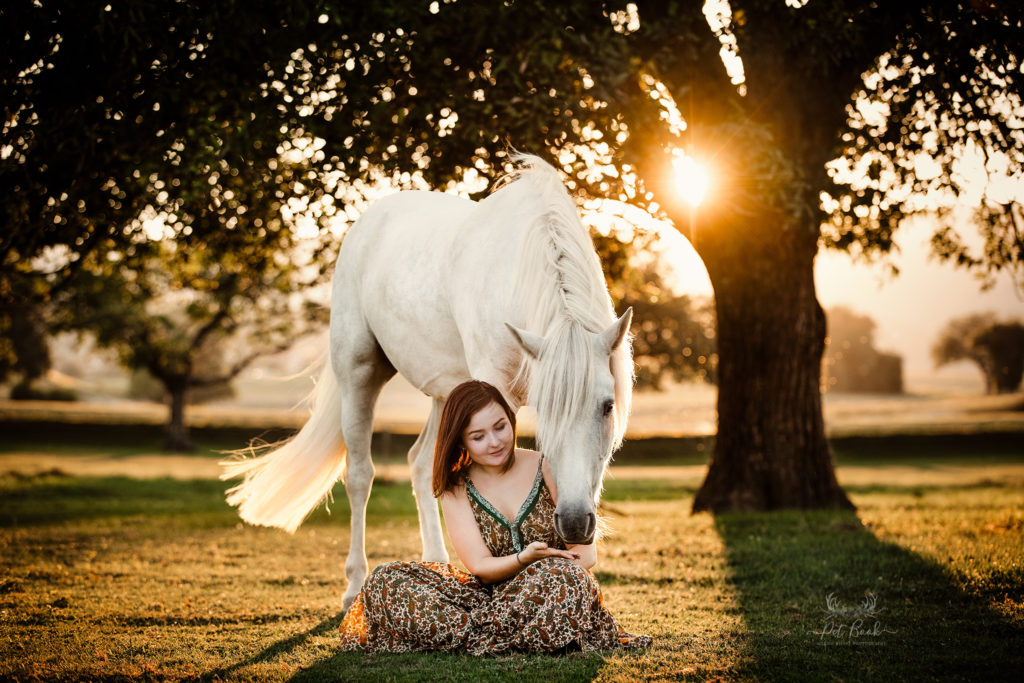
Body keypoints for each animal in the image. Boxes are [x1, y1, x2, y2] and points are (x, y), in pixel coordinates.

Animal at [222, 154, 630, 610]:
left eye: (608, 406)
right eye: (546, 411)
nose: (575, 523)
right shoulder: (495, 393)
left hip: (448, 394)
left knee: (420, 463)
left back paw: (436, 561)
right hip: (359, 373)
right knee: (360, 475)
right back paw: (354, 585)